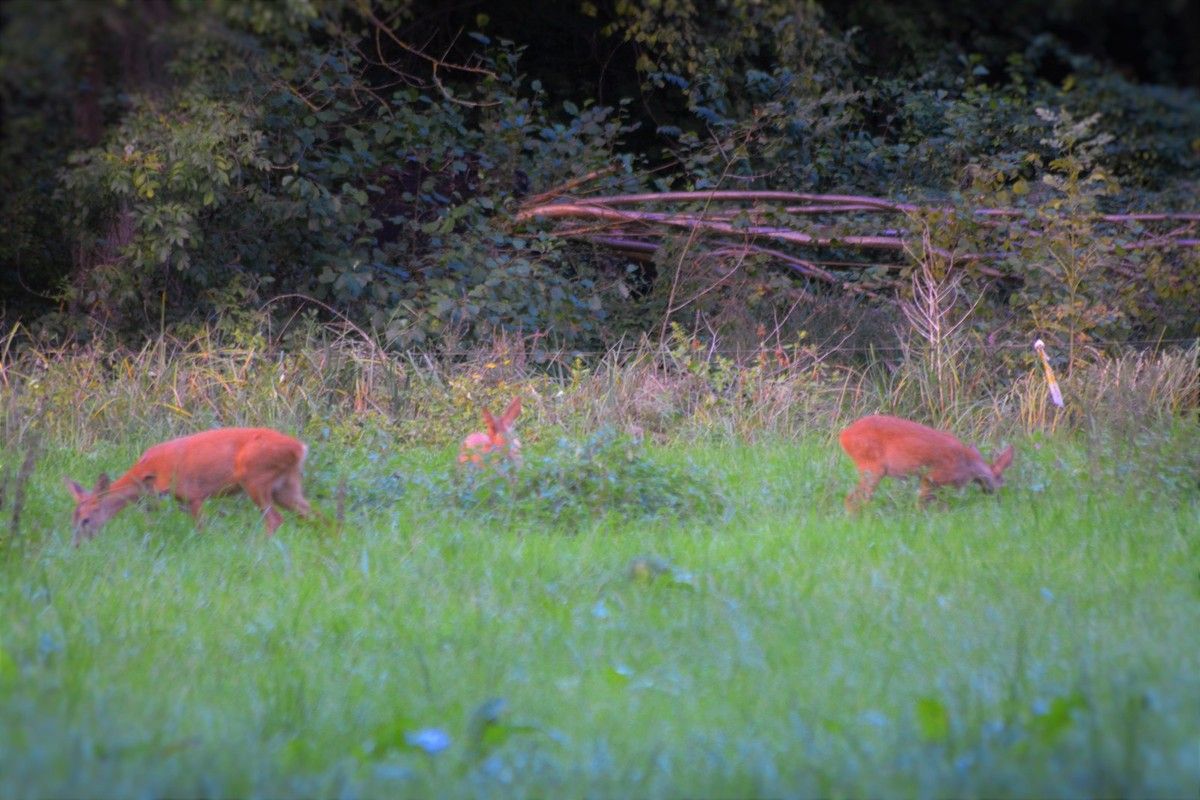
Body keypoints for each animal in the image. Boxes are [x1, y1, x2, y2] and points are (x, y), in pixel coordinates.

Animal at [65, 429, 312, 546]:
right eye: (73, 520)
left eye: (86, 519)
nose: (76, 545)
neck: (146, 473)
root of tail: (300, 447)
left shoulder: (193, 493)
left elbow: (200, 528)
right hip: (286, 486)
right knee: (312, 514)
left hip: (256, 479)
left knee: (275, 519)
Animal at [844, 412, 1012, 513]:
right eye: (1001, 482)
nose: (998, 499)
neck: (969, 465)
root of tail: (844, 435)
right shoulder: (932, 477)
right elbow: (923, 503)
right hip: (872, 467)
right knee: (854, 497)